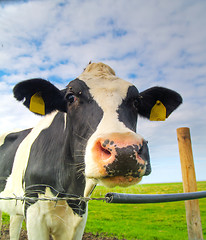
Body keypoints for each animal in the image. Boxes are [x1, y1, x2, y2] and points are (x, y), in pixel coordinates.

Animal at [0, 62, 182, 239]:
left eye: (136, 102)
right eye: (71, 97)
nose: (124, 150)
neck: (70, 191)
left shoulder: (80, 216)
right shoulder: (34, 208)